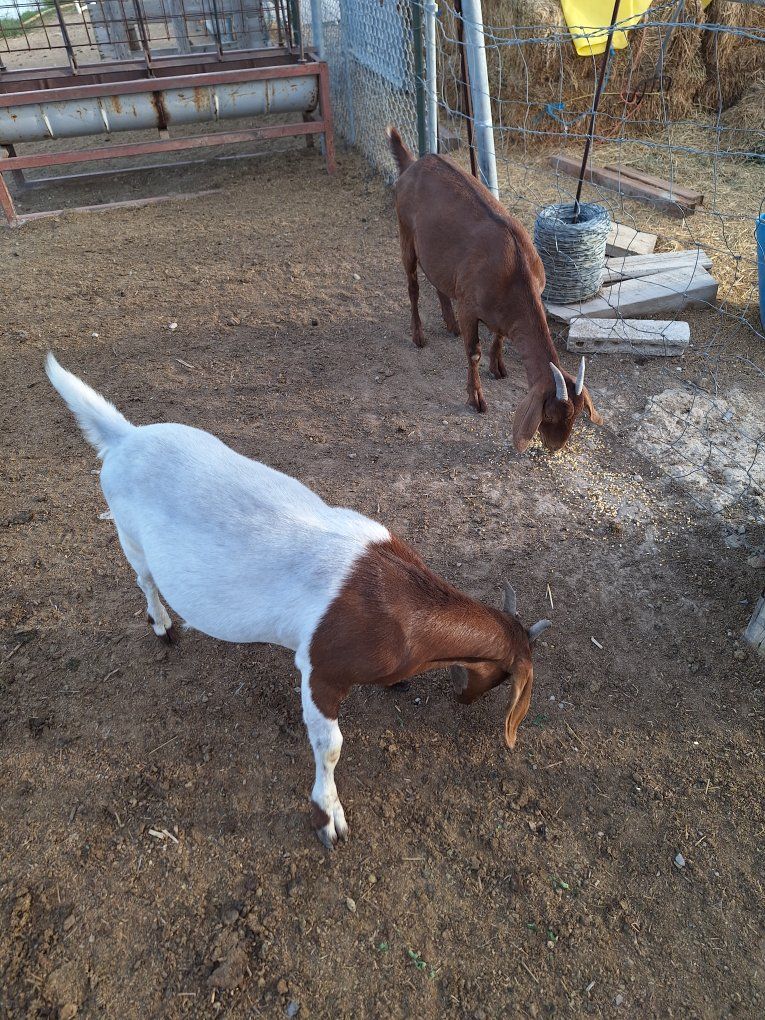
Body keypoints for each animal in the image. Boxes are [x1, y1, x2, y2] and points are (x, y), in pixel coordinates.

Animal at [46, 355, 551, 847]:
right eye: (505, 677)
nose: (465, 700)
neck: (404, 605)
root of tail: (124, 437)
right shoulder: (321, 668)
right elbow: (331, 746)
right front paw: (328, 817)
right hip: (129, 535)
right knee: (145, 578)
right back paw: (163, 626)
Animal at [387, 125, 603, 453]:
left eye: (577, 415)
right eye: (548, 415)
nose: (555, 447)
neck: (516, 274)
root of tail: (413, 164)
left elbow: (500, 337)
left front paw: (498, 367)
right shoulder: (468, 305)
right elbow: (473, 351)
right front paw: (476, 398)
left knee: (438, 281)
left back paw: (449, 324)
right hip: (405, 230)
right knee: (412, 284)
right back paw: (419, 336)